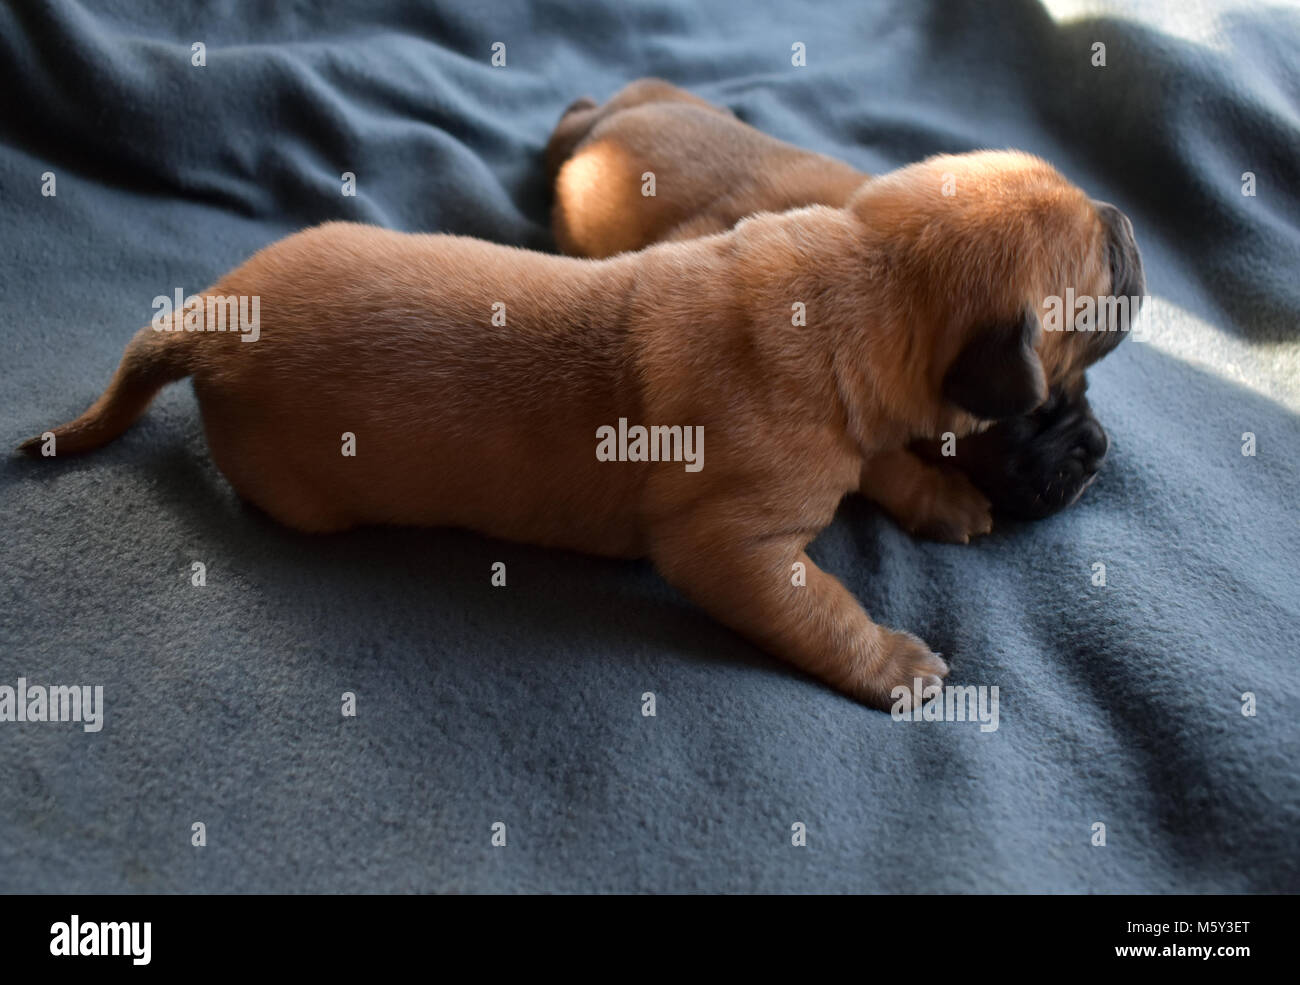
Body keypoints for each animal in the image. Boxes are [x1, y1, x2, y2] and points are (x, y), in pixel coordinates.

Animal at [17, 150, 1138, 712]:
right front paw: (895, 662)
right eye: (1103, 276)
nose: (1130, 223)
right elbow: (821, 605)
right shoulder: (732, 547)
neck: (860, 274)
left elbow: (884, 464)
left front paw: (942, 492)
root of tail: (208, 322)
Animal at [543, 81, 1123, 532]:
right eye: (1035, 412)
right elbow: (880, 461)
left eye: (1086, 386)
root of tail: (599, 124)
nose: (1098, 450)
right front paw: (940, 498)